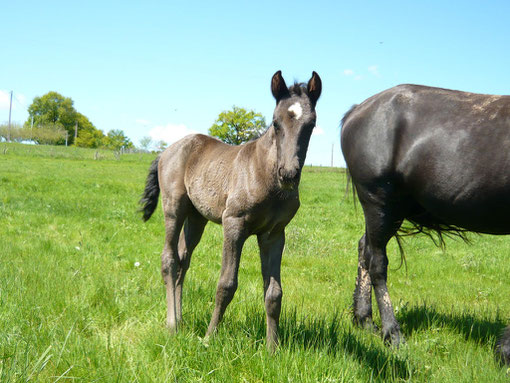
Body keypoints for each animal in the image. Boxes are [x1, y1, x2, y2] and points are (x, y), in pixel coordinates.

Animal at [139, 70, 320, 350]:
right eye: (275, 123)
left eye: (311, 125)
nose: (288, 174)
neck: (266, 175)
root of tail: (166, 150)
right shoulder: (233, 224)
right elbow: (226, 284)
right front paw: (208, 338)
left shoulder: (274, 234)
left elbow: (274, 293)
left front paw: (272, 349)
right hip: (174, 208)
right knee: (169, 259)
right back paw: (171, 325)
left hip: (196, 218)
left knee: (183, 259)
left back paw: (180, 320)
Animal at [340, 84, 510, 364]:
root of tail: (358, 110)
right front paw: (505, 350)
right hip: (379, 201)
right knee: (377, 263)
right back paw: (392, 334)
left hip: (387, 210)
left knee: (365, 250)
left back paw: (364, 320)